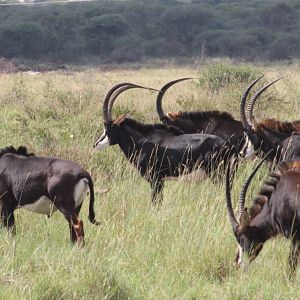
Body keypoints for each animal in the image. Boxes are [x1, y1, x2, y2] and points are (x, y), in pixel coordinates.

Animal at [94, 81, 237, 206]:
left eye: (108, 128)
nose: (96, 144)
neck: (141, 142)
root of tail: (227, 145)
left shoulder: (155, 180)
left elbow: (155, 202)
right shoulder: (160, 181)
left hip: (216, 174)